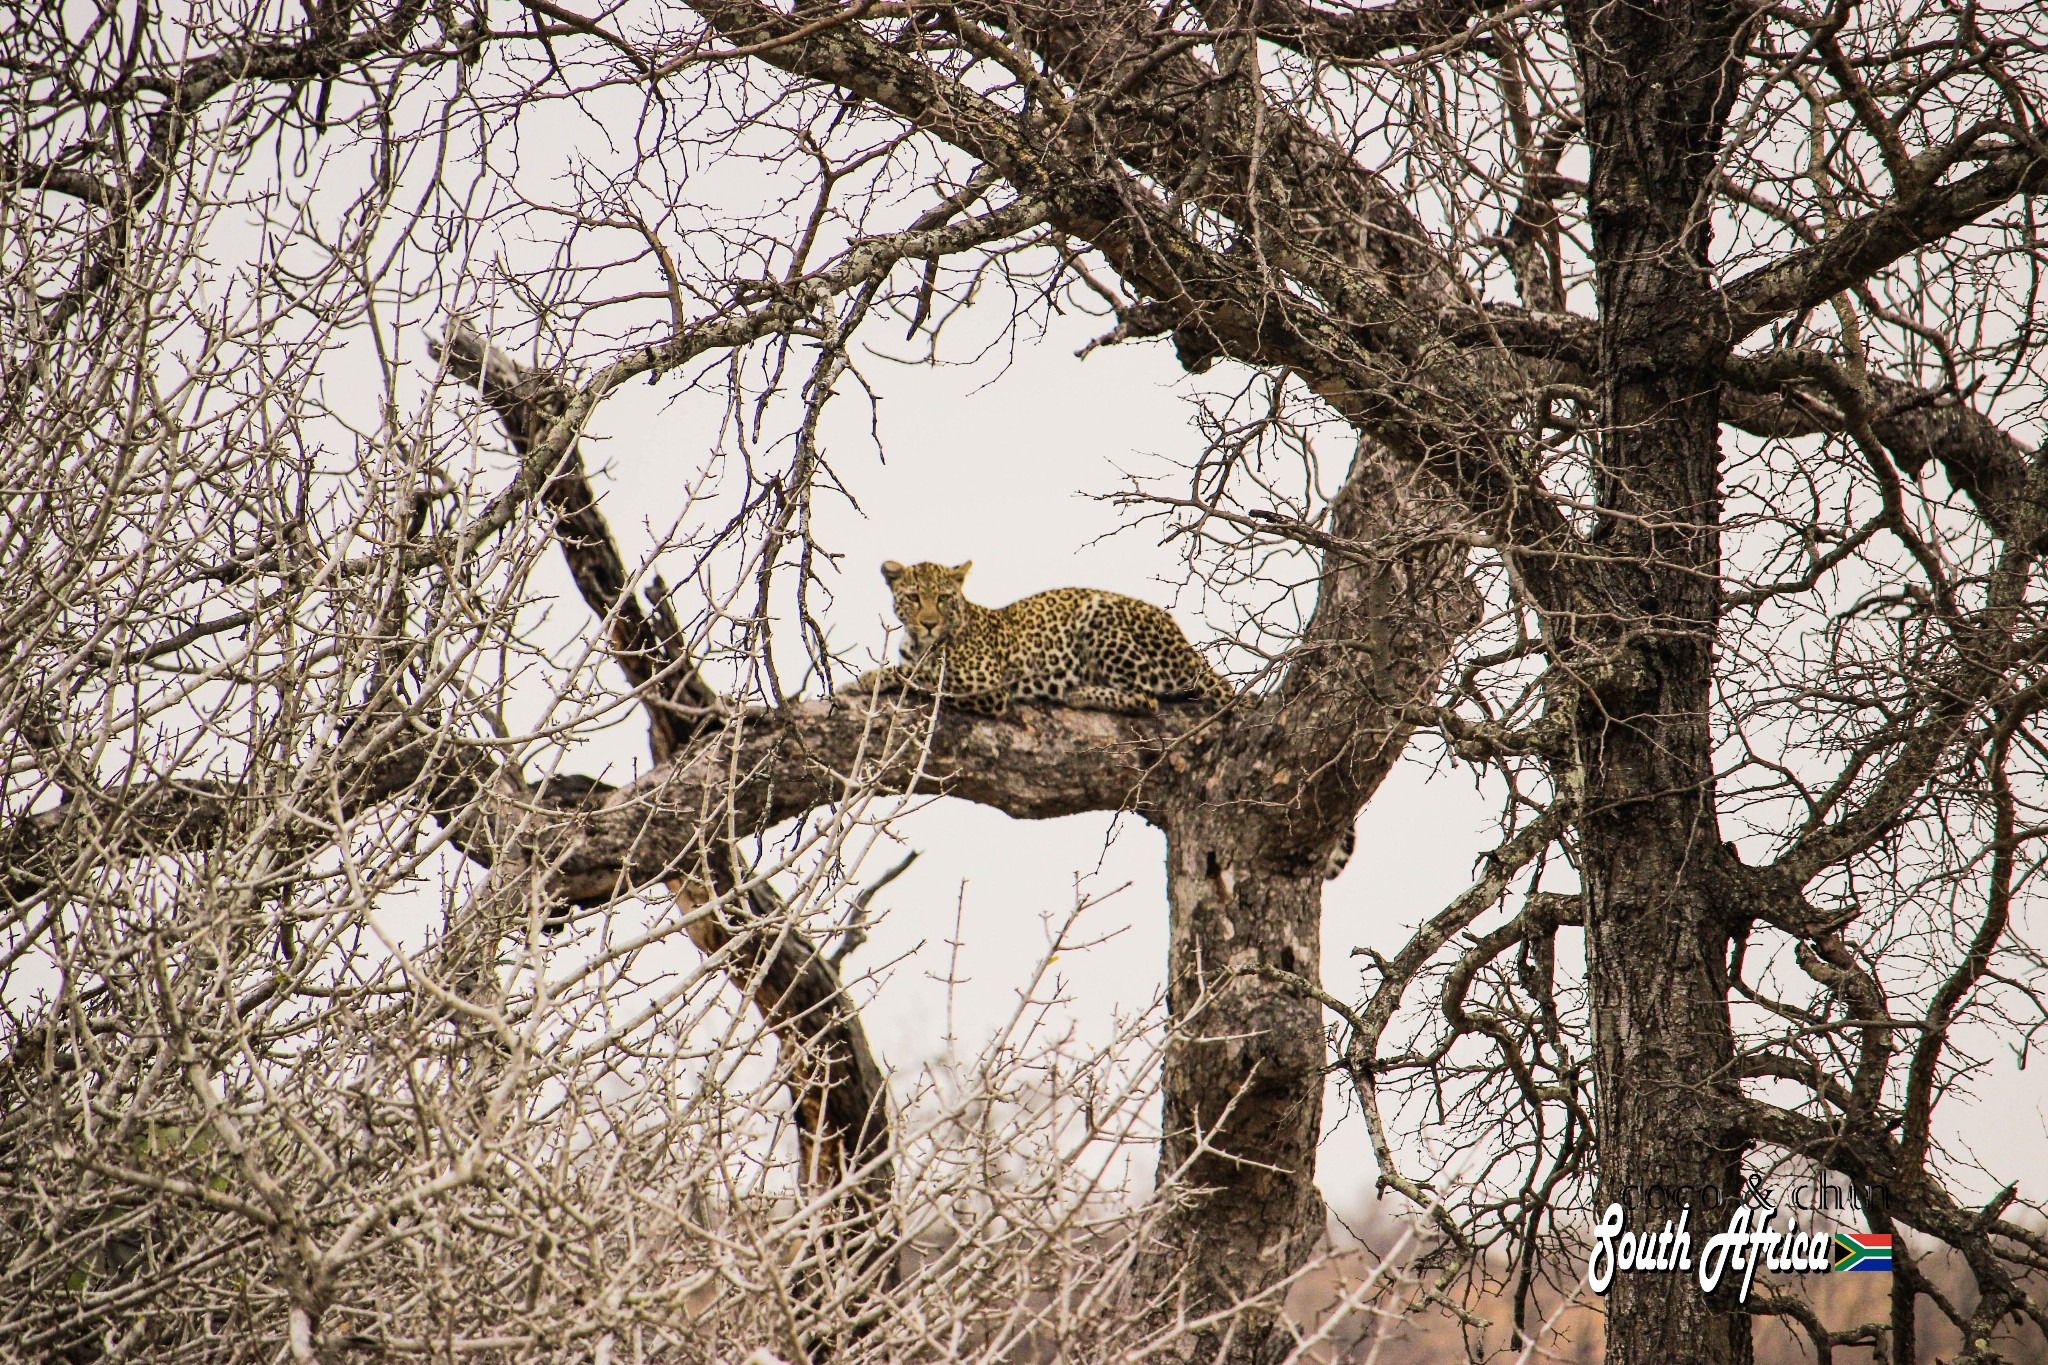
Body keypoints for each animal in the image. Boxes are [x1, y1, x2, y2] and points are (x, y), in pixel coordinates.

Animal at [835, 560, 1228, 720]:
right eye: (915, 598)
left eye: (944, 598)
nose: (930, 623)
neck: (918, 642)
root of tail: (1187, 648)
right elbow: (913, 669)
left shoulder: (985, 684)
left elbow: (918, 675)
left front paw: (864, 680)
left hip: (1098, 612)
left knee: (1147, 698)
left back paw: (1079, 693)